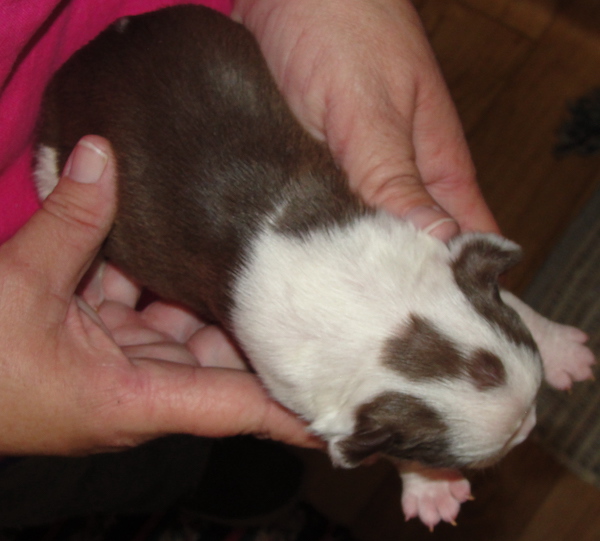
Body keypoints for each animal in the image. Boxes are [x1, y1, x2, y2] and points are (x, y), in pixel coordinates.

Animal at [34, 5, 596, 529]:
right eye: (447, 454)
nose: (529, 428)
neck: (378, 316)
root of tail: (97, 48)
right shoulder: (320, 397)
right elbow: (379, 446)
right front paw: (431, 488)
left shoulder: (429, 251)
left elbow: (509, 297)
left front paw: (562, 348)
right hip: (54, 155)